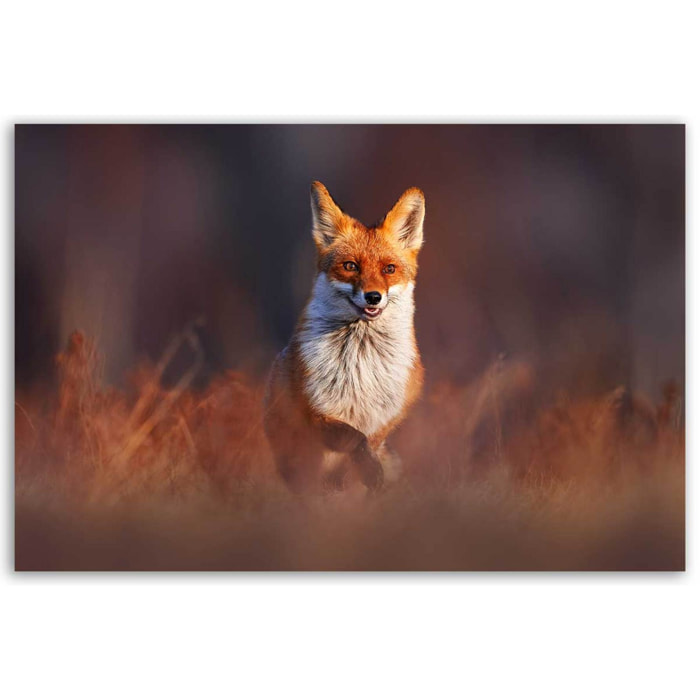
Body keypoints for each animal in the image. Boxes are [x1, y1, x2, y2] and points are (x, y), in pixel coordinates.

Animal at [263, 181, 425, 492]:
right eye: (351, 266)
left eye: (389, 269)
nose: (373, 296)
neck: (361, 366)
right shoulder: (316, 413)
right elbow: (353, 438)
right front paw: (367, 471)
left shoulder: (385, 420)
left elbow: (365, 447)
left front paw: (362, 477)